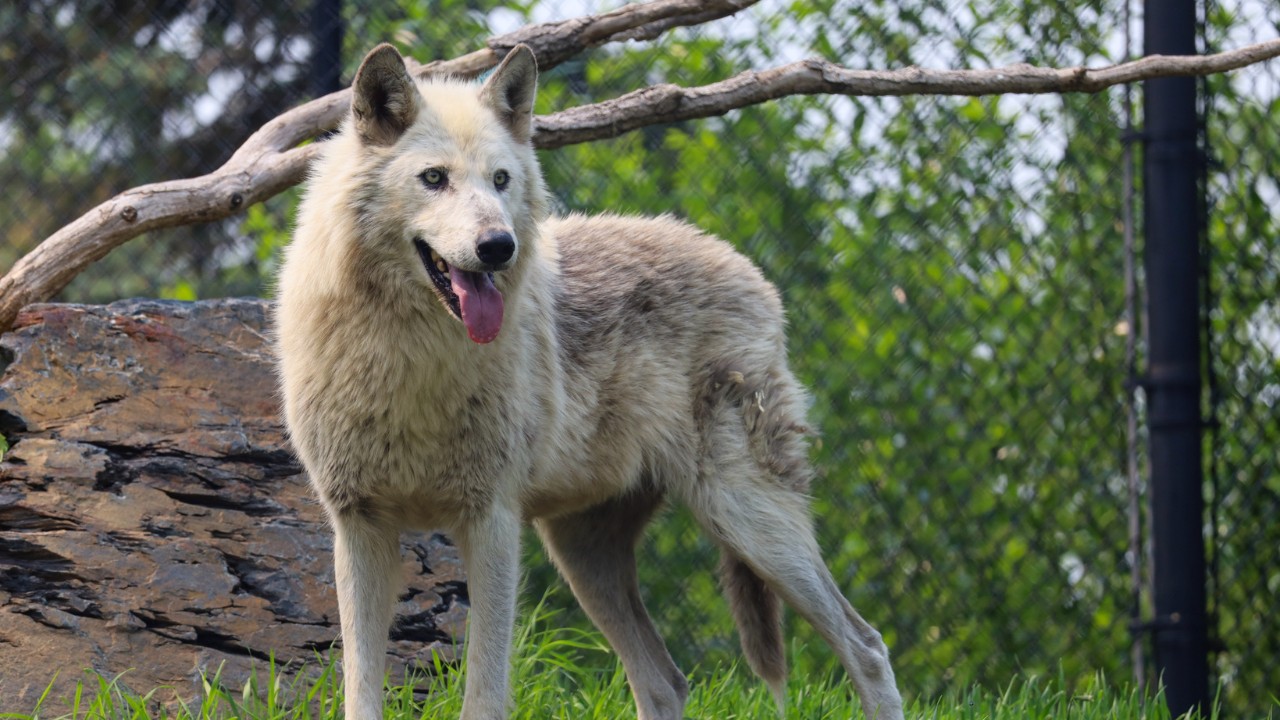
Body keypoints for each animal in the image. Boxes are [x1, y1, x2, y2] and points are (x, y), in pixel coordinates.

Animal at [275, 42, 904, 720]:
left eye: (501, 180)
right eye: (434, 178)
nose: (497, 246)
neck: (410, 359)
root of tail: (746, 266)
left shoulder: (491, 522)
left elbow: (484, 694)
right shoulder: (359, 527)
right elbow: (360, 689)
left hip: (746, 520)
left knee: (867, 646)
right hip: (587, 555)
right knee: (665, 680)